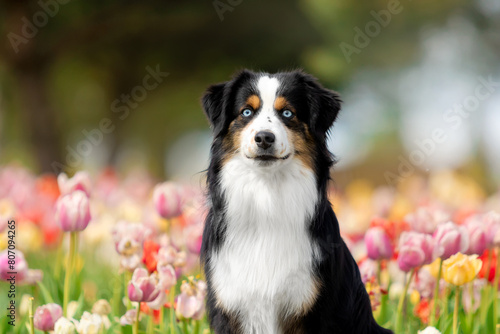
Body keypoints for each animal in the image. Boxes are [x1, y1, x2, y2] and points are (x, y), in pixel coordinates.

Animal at [199, 69, 390, 332]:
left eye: (288, 113)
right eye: (246, 112)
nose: (264, 138)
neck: (267, 199)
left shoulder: (315, 309)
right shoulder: (230, 306)